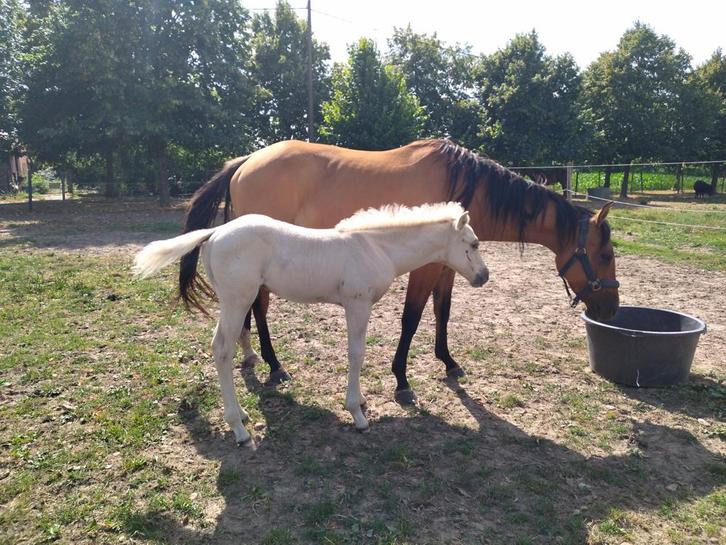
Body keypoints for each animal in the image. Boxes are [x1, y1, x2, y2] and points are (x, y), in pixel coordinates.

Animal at [134, 203, 489, 445]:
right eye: (473, 244)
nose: (484, 277)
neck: (375, 247)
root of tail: (215, 233)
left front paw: (361, 401)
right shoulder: (357, 304)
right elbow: (356, 354)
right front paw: (357, 413)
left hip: (232, 301)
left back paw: (243, 415)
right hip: (238, 299)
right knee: (222, 350)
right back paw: (238, 428)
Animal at [182, 139, 619, 405]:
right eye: (605, 254)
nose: (612, 309)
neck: (465, 184)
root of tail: (246, 162)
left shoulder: (447, 266)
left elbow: (442, 313)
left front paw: (448, 362)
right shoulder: (424, 268)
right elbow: (412, 318)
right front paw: (402, 380)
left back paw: (251, 355)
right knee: (260, 308)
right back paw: (274, 365)